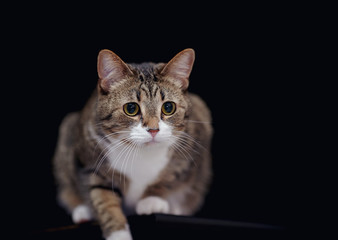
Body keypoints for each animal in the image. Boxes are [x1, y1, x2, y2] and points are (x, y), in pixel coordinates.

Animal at [53, 48, 214, 240]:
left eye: (168, 108)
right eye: (131, 109)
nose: (153, 130)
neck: (140, 152)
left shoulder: (191, 146)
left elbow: (170, 176)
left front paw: (152, 200)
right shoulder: (91, 162)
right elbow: (103, 199)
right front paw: (118, 233)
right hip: (68, 131)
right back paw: (83, 211)